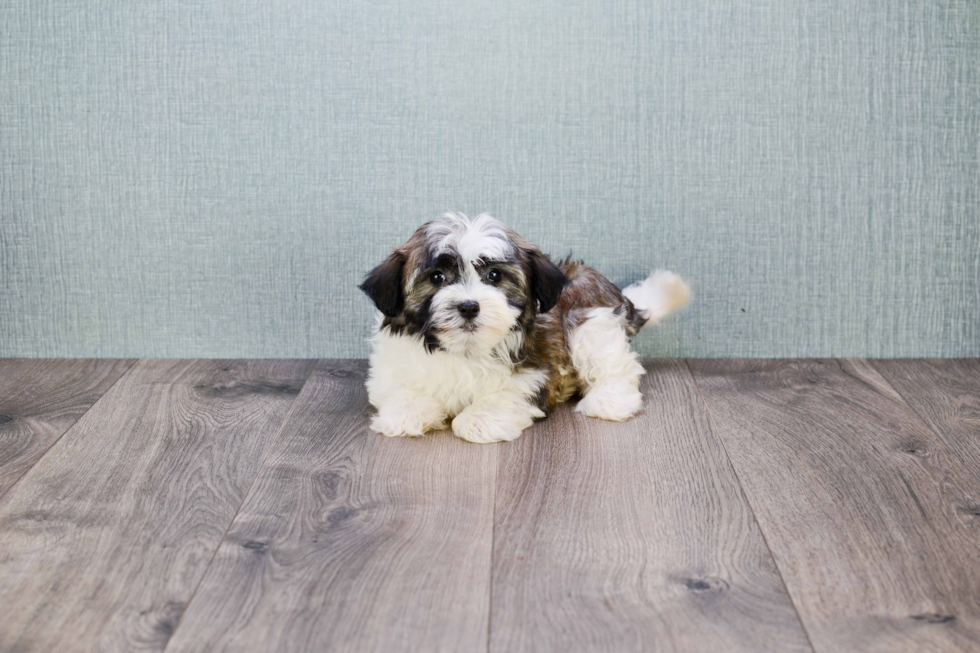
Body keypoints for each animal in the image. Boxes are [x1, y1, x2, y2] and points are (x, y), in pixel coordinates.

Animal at [360, 213, 688, 444]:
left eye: (494, 275)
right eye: (437, 277)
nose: (469, 306)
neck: (464, 350)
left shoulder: (536, 373)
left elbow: (507, 393)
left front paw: (478, 419)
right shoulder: (390, 370)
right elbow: (401, 390)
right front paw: (406, 412)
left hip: (592, 322)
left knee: (615, 365)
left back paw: (609, 401)